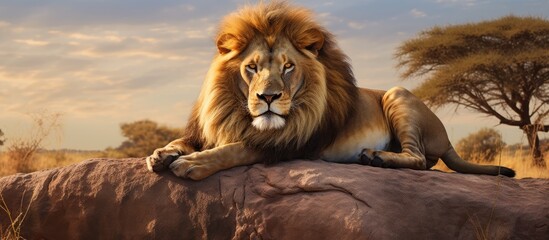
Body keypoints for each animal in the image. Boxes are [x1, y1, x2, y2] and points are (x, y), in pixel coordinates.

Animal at [146, 1, 512, 178]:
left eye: (288, 67)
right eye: (251, 67)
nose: (268, 98)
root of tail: (447, 138)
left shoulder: (291, 144)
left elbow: (237, 149)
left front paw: (193, 163)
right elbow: (184, 140)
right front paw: (162, 153)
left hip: (397, 94)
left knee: (420, 159)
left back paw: (376, 157)